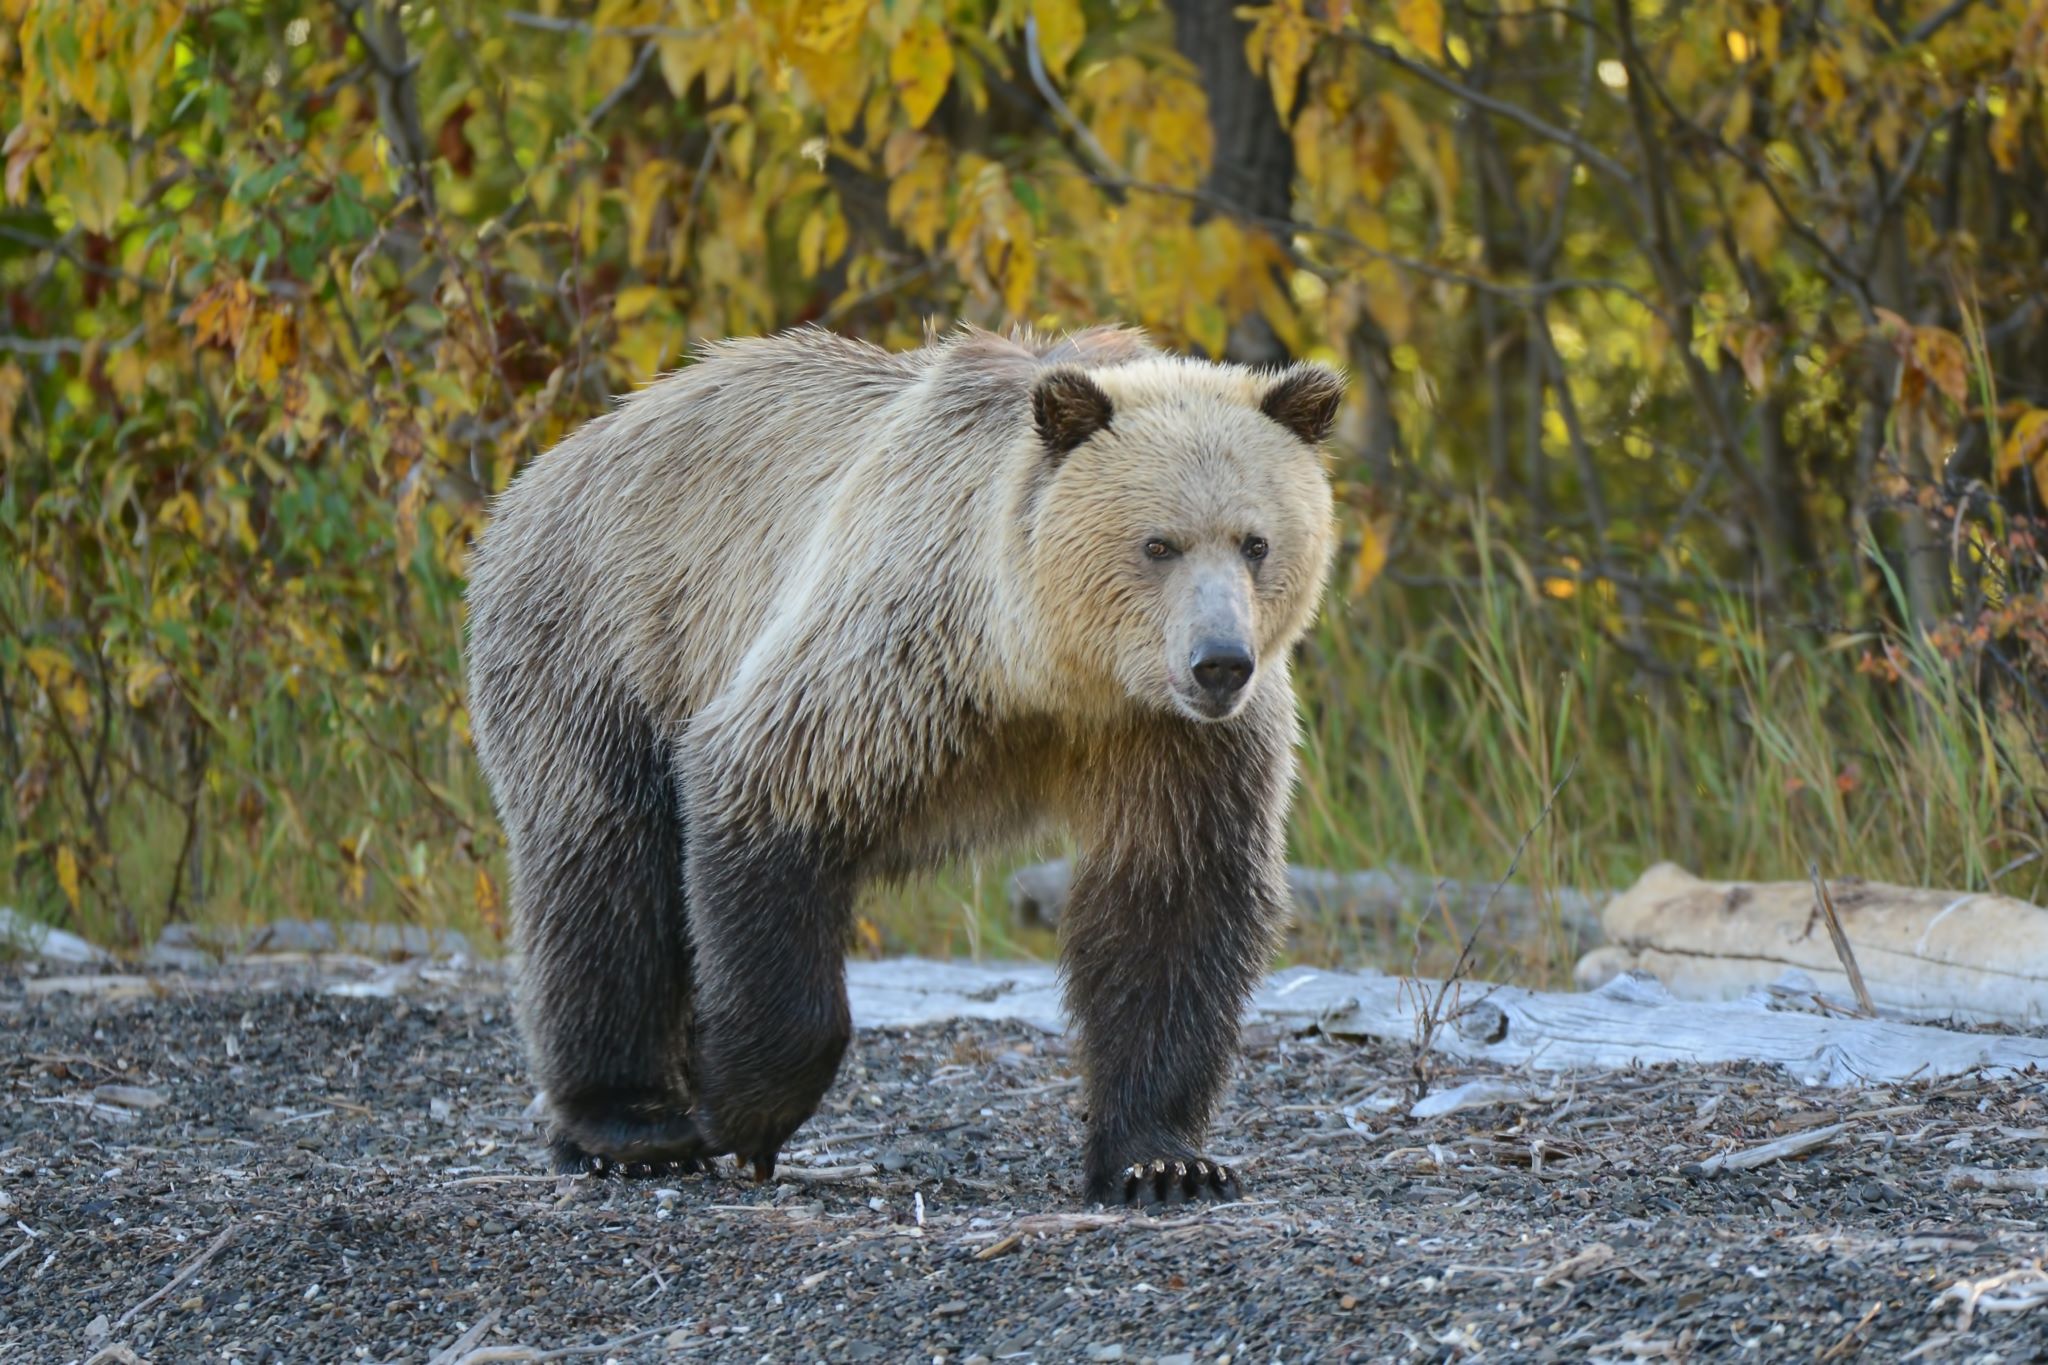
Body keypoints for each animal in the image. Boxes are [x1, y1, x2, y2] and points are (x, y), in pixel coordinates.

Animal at [471, 325, 1351, 1203]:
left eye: (1257, 541)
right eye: (1158, 543)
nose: (1219, 662)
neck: (1050, 669)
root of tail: (556, 459)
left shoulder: (1173, 741)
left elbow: (1173, 899)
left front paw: (1165, 1161)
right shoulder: (897, 652)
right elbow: (767, 788)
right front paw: (746, 1113)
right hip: (605, 635)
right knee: (605, 871)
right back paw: (631, 1124)